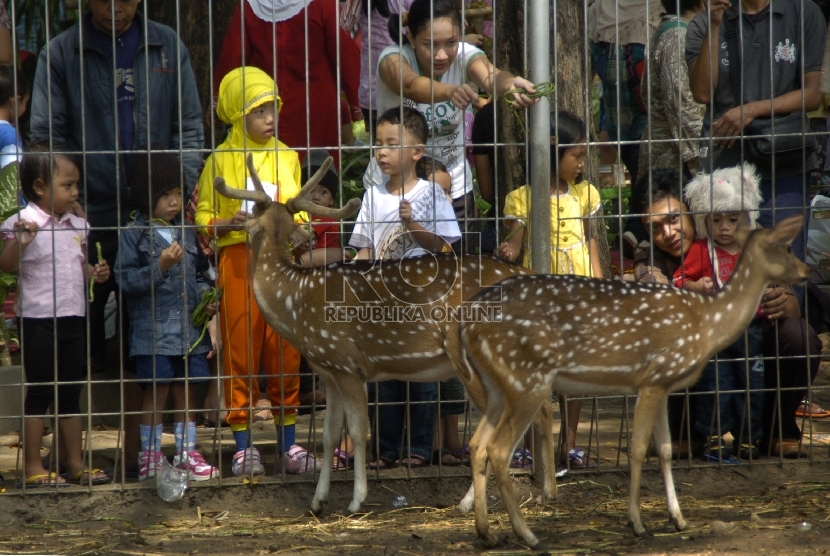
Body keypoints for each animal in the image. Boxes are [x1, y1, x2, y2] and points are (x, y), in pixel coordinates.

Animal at [211, 155, 556, 516]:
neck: (296, 304)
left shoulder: (347, 362)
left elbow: (359, 431)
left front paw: (356, 499)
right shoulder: (328, 371)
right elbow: (330, 436)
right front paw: (318, 501)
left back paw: (470, 501)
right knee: (542, 408)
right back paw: (545, 491)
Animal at [456, 215, 812, 548]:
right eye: (787, 247)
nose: (806, 271)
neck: (707, 324)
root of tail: (466, 325)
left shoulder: (665, 384)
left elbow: (666, 449)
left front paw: (678, 519)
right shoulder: (653, 378)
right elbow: (639, 448)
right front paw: (637, 523)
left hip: (496, 387)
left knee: (477, 444)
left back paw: (487, 533)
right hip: (527, 379)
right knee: (498, 449)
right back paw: (528, 535)